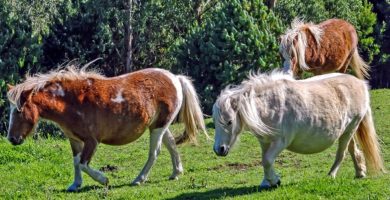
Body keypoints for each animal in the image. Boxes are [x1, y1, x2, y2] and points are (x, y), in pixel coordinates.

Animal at [6, 65, 207, 191]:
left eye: (19, 111)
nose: (12, 139)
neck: (70, 102)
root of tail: (174, 78)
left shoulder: (91, 141)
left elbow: (83, 163)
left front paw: (103, 179)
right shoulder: (74, 140)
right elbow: (76, 161)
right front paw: (75, 184)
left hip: (158, 128)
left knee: (155, 152)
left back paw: (139, 179)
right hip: (158, 126)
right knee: (171, 144)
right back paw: (176, 173)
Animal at [215, 71, 386, 189]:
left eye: (229, 122)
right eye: (216, 122)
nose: (219, 149)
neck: (270, 105)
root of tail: (360, 83)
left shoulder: (280, 142)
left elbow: (267, 160)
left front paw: (275, 181)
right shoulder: (265, 142)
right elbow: (265, 160)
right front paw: (267, 182)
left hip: (351, 128)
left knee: (341, 154)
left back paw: (331, 175)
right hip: (347, 131)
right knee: (352, 150)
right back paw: (360, 172)